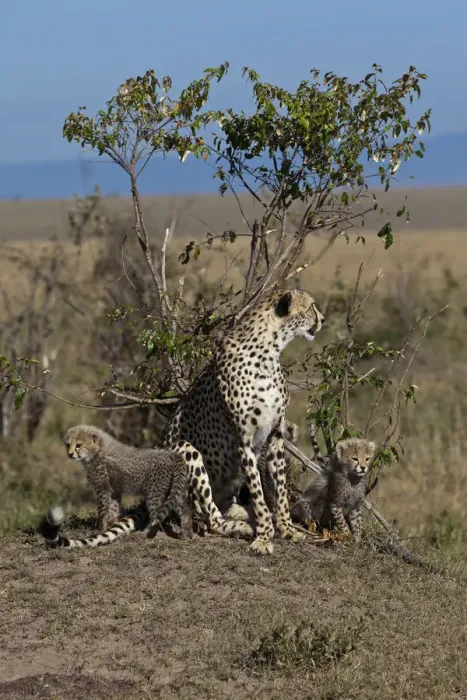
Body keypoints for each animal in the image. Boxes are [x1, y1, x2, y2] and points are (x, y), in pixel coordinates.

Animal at [38, 425, 192, 548]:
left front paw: (100, 530)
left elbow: (102, 510)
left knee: (156, 514)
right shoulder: (114, 489)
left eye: (78, 445)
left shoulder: (102, 487)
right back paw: (186, 533)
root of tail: (172, 455)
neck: (97, 451)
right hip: (175, 489)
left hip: (154, 491)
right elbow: (113, 508)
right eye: (68, 444)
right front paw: (113, 524)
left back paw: (147, 532)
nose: (70, 454)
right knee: (184, 509)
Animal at [158, 289, 325, 555]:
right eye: (310, 307)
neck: (269, 352)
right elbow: (258, 493)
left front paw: (287, 529)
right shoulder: (244, 440)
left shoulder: (275, 436)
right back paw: (241, 527)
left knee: (225, 507)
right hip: (183, 450)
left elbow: (279, 491)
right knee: (211, 518)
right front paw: (264, 538)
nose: (323, 319)